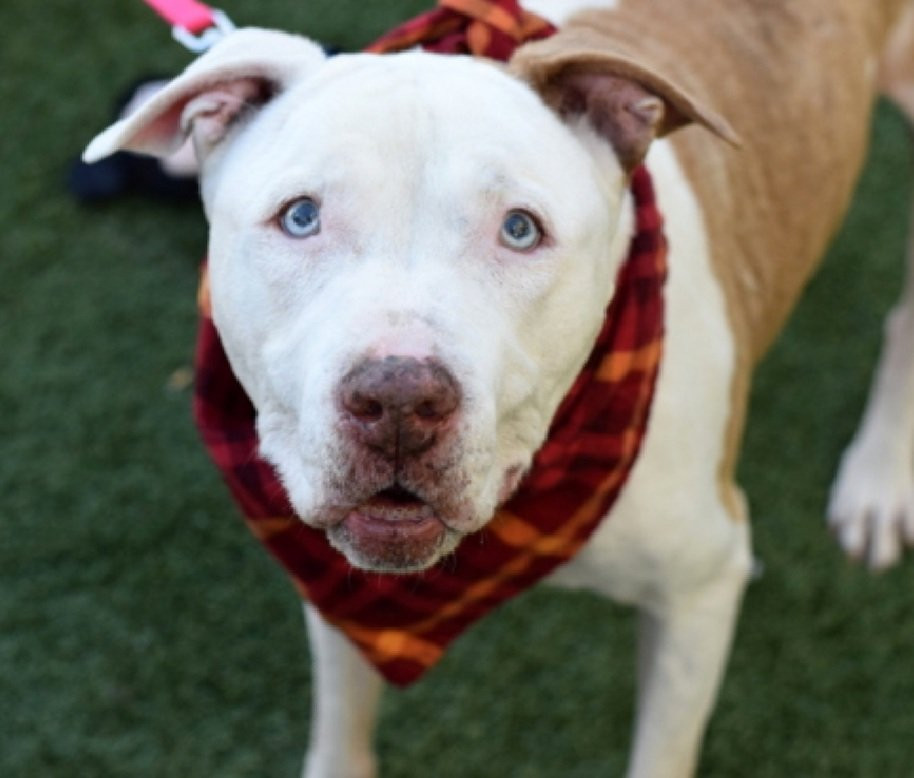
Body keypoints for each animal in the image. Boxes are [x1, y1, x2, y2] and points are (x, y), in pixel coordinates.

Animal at [83, 0, 914, 775]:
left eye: (520, 229)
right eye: (301, 217)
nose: (399, 402)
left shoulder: (701, 585)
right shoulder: (337, 585)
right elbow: (342, 729)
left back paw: (877, 485)